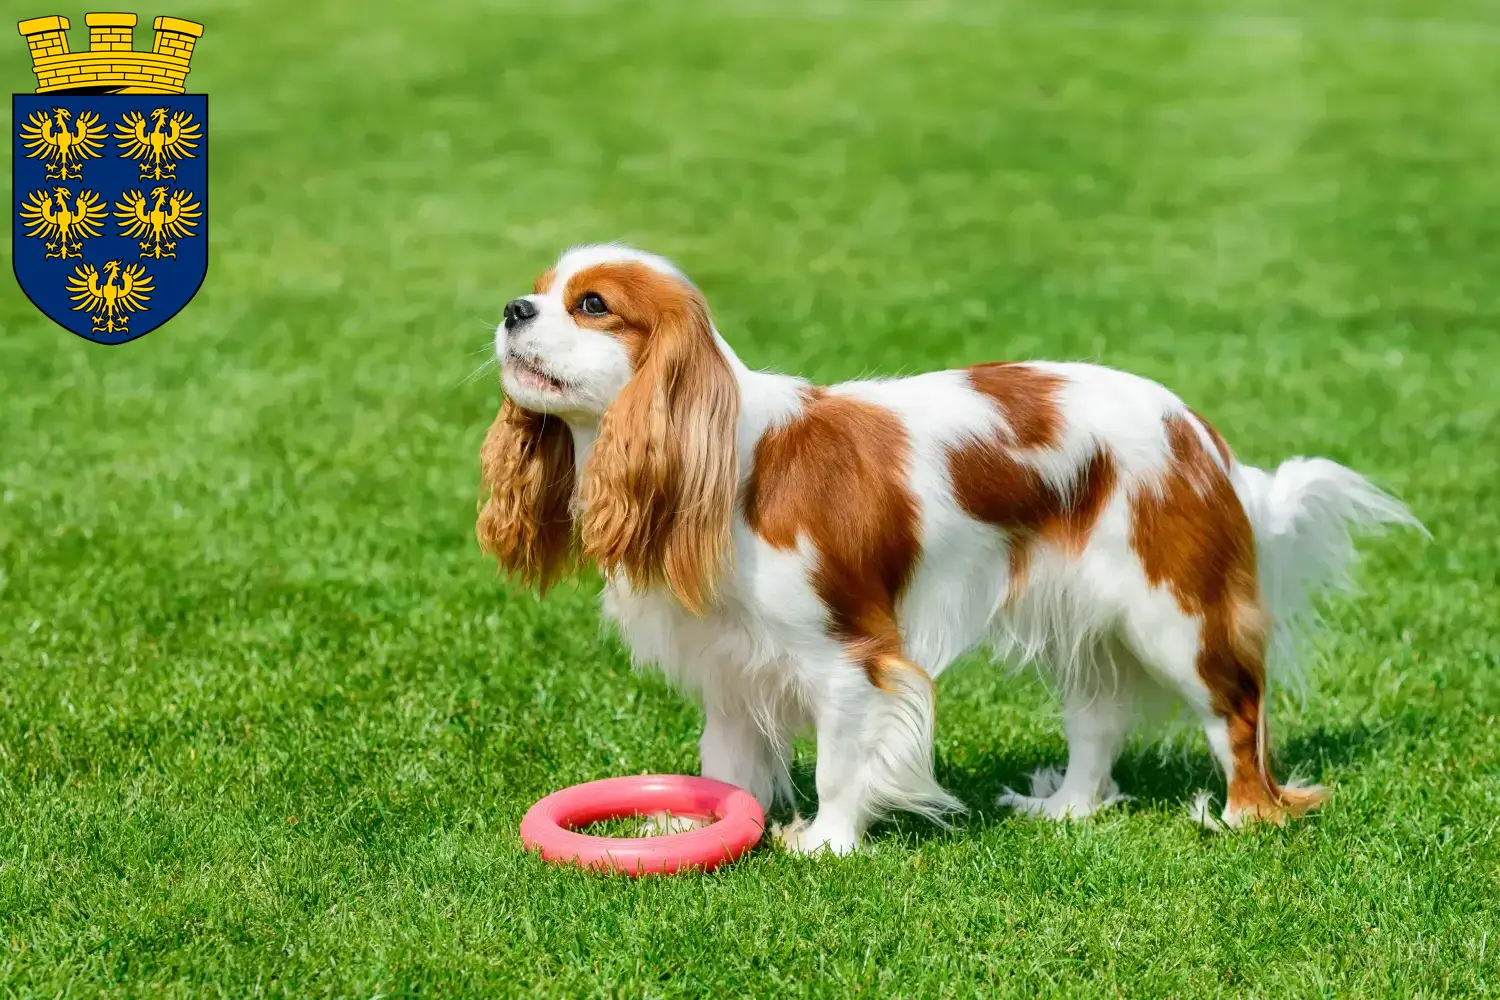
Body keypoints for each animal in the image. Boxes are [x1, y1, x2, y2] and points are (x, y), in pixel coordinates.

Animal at [477, 242, 1416, 851]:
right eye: (541, 291)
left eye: (591, 305)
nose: (511, 308)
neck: (725, 464)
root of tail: (1203, 435)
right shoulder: (732, 667)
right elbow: (729, 766)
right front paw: (694, 823)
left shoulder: (849, 655)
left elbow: (839, 762)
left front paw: (826, 843)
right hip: (1085, 621)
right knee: (1099, 720)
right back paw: (1070, 809)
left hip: (1176, 616)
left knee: (1238, 713)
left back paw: (1247, 816)